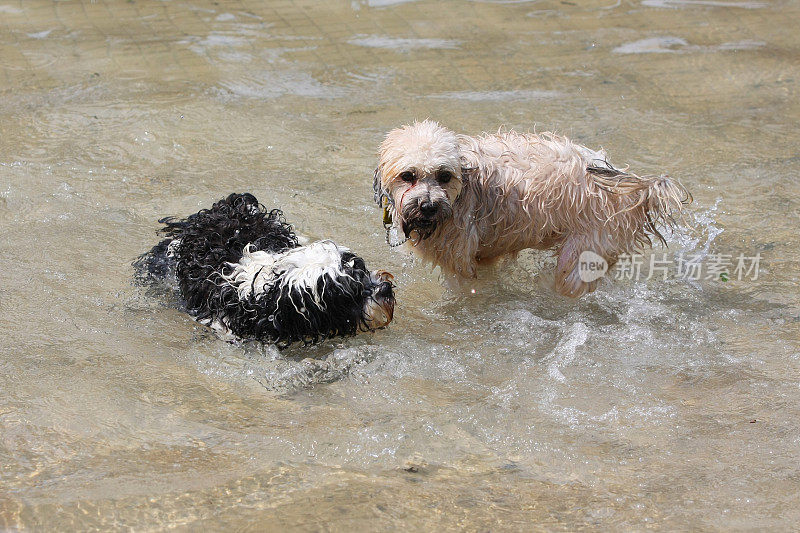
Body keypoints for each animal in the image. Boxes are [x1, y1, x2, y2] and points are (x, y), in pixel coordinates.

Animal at [372, 119, 692, 298]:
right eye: (408, 175)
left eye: (444, 176)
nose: (428, 206)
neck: (461, 192)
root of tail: (635, 186)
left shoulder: (461, 264)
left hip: (585, 249)